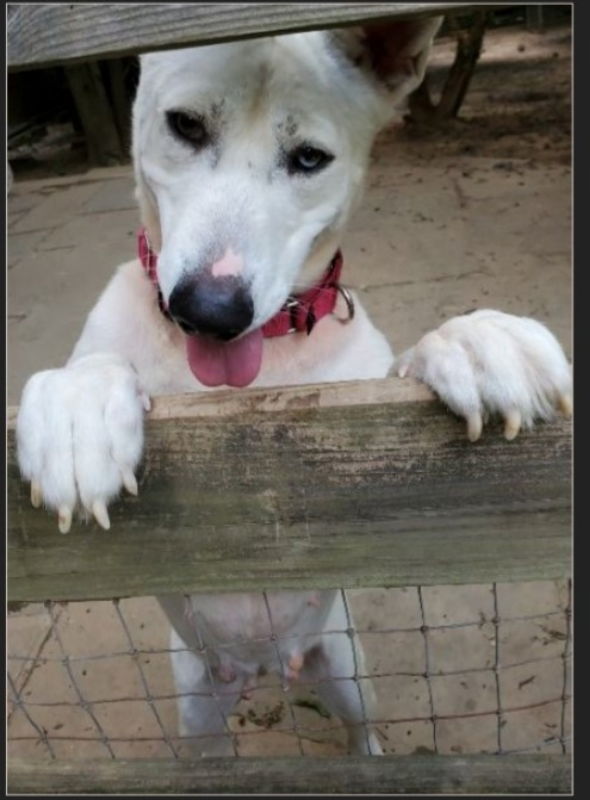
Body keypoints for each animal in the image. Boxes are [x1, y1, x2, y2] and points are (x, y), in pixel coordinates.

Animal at [17, 18, 572, 756]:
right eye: (185, 125)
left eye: (310, 158)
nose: (209, 311)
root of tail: (263, 668)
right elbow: (96, 369)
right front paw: (77, 412)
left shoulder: (359, 414)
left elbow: (407, 369)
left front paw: (478, 342)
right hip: (198, 707)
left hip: (344, 668)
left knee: (362, 733)